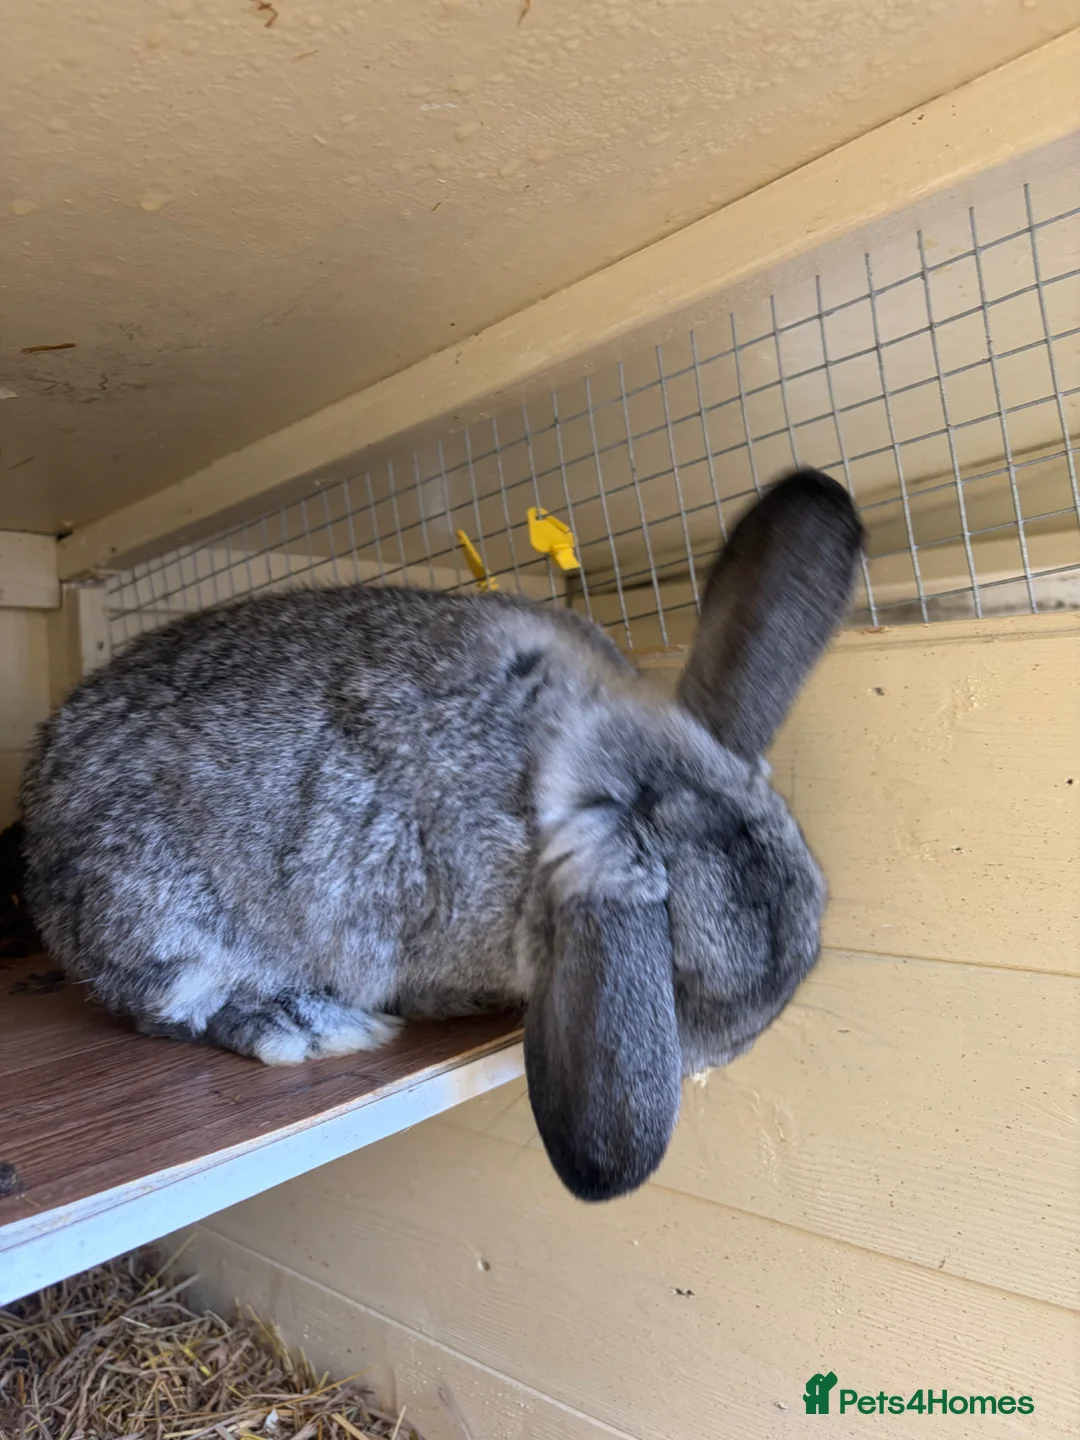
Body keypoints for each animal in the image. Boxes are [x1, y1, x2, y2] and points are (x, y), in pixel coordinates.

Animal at [20, 466, 864, 1202]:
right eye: (681, 972)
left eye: (815, 924)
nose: (725, 1056)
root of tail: (36, 823)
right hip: (160, 918)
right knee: (172, 1009)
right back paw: (301, 1025)